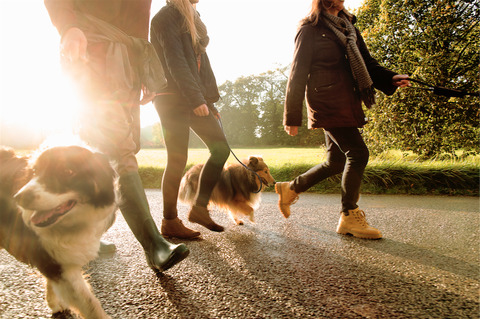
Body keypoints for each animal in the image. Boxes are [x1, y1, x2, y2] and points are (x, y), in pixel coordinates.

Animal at [0, 146, 116, 319]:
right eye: (35, 171)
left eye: (68, 171)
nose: (18, 198)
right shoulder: (55, 262)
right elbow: (90, 304)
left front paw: (53, 302)